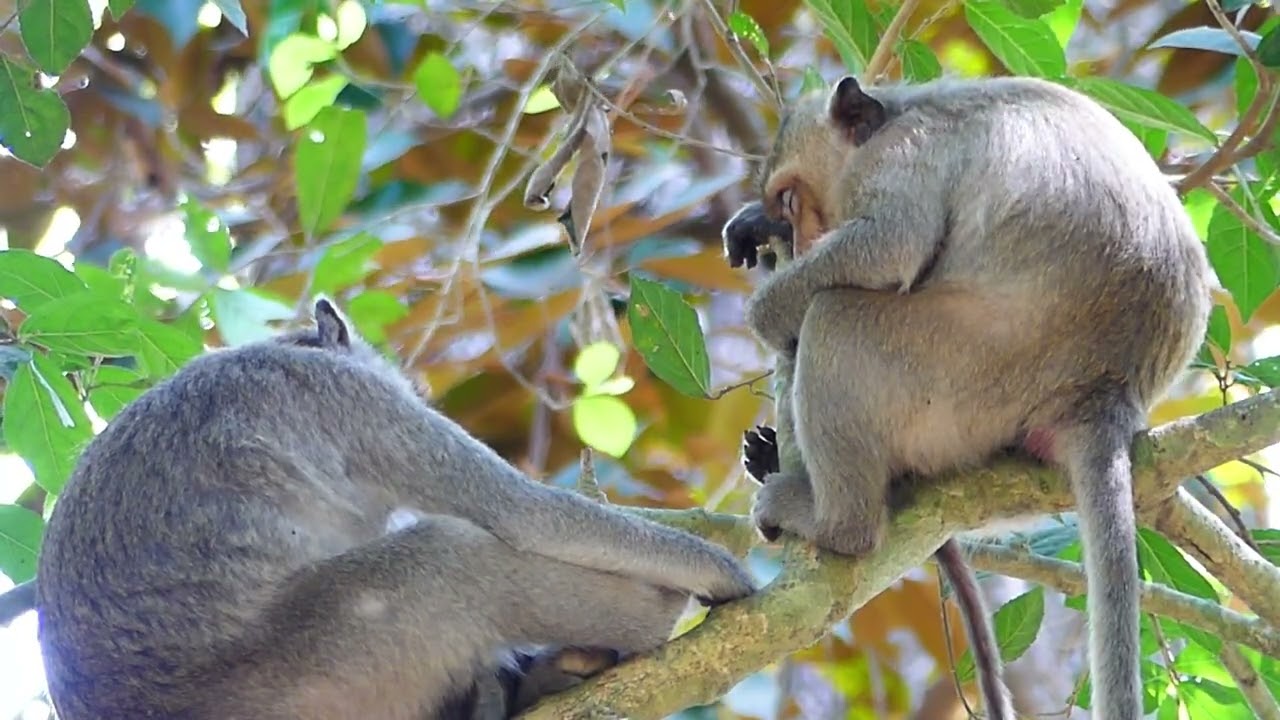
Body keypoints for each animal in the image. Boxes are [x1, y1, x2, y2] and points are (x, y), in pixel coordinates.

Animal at [35, 297, 756, 720]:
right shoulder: (348, 398)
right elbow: (521, 515)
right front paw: (712, 565)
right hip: (316, 679)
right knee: (445, 559)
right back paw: (645, 620)